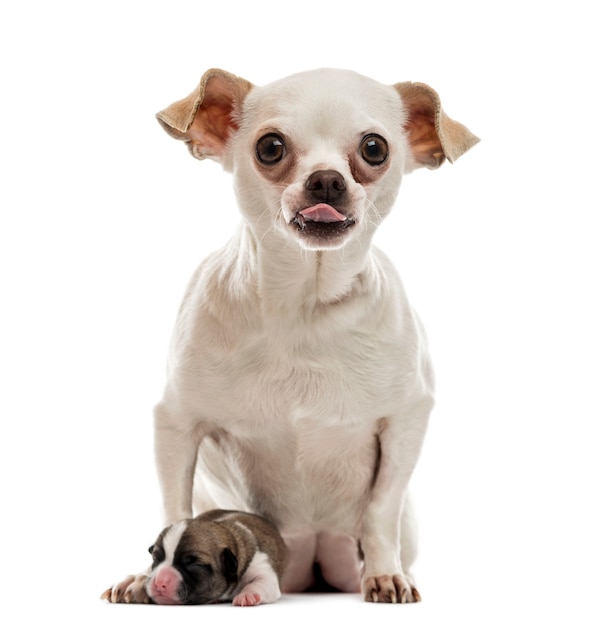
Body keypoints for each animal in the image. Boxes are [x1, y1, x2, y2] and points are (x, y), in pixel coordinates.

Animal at [102, 508, 288, 604]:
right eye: (156, 558)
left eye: (194, 564)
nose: (159, 582)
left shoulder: (262, 565)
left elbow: (263, 582)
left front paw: (247, 595)